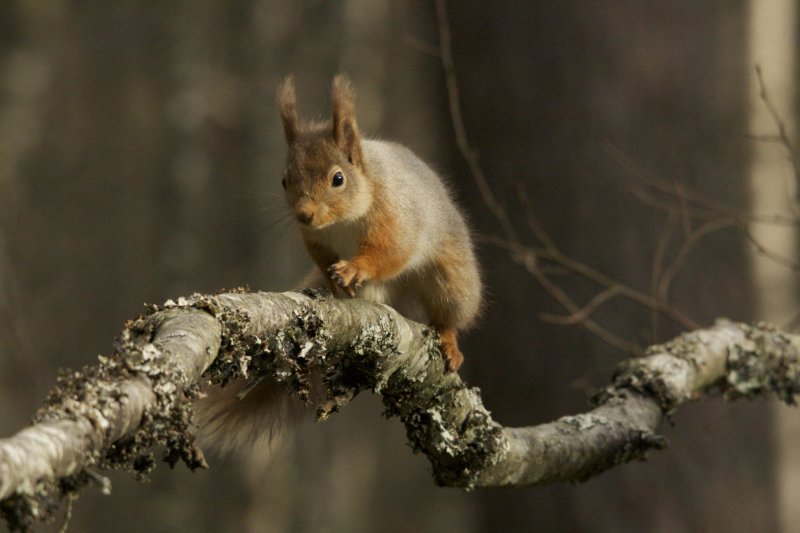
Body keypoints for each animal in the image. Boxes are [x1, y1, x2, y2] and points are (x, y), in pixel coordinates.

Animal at [194, 76, 482, 454]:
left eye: (338, 179)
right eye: (284, 180)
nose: (304, 214)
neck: (342, 221)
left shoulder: (396, 216)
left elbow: (392, 251)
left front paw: (353, 269)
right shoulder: (314, 239)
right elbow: (321, 256)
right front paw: (333, 282)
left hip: (452, 278)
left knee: (449, 309)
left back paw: (448, 339)